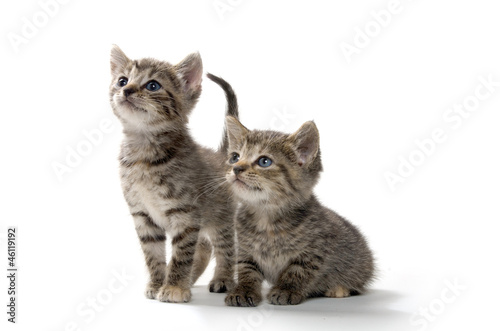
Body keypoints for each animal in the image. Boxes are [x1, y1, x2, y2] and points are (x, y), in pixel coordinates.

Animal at [109, 45, 240, 304]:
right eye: (122, 81)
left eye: (152, 85)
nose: (126, 90)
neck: (143, 156)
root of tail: (222, 157)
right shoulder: (143, 215)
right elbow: (153, 255)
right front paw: (158, 282)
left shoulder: (185, 214)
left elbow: (181, 254)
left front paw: (174, 287)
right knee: (204, 247)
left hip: (221, 217)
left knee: (224, 248)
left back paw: (222, 279)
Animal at [224, 115, 376, 308]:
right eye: (234, 157)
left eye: (264, 161)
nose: (236, 168)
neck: (266, 218)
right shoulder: (245, 250)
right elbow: (246, 269)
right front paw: (243, 290)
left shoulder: (314, 252)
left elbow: (297, 271)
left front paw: (286, 290)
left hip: (360, 264)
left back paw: (339, 289)